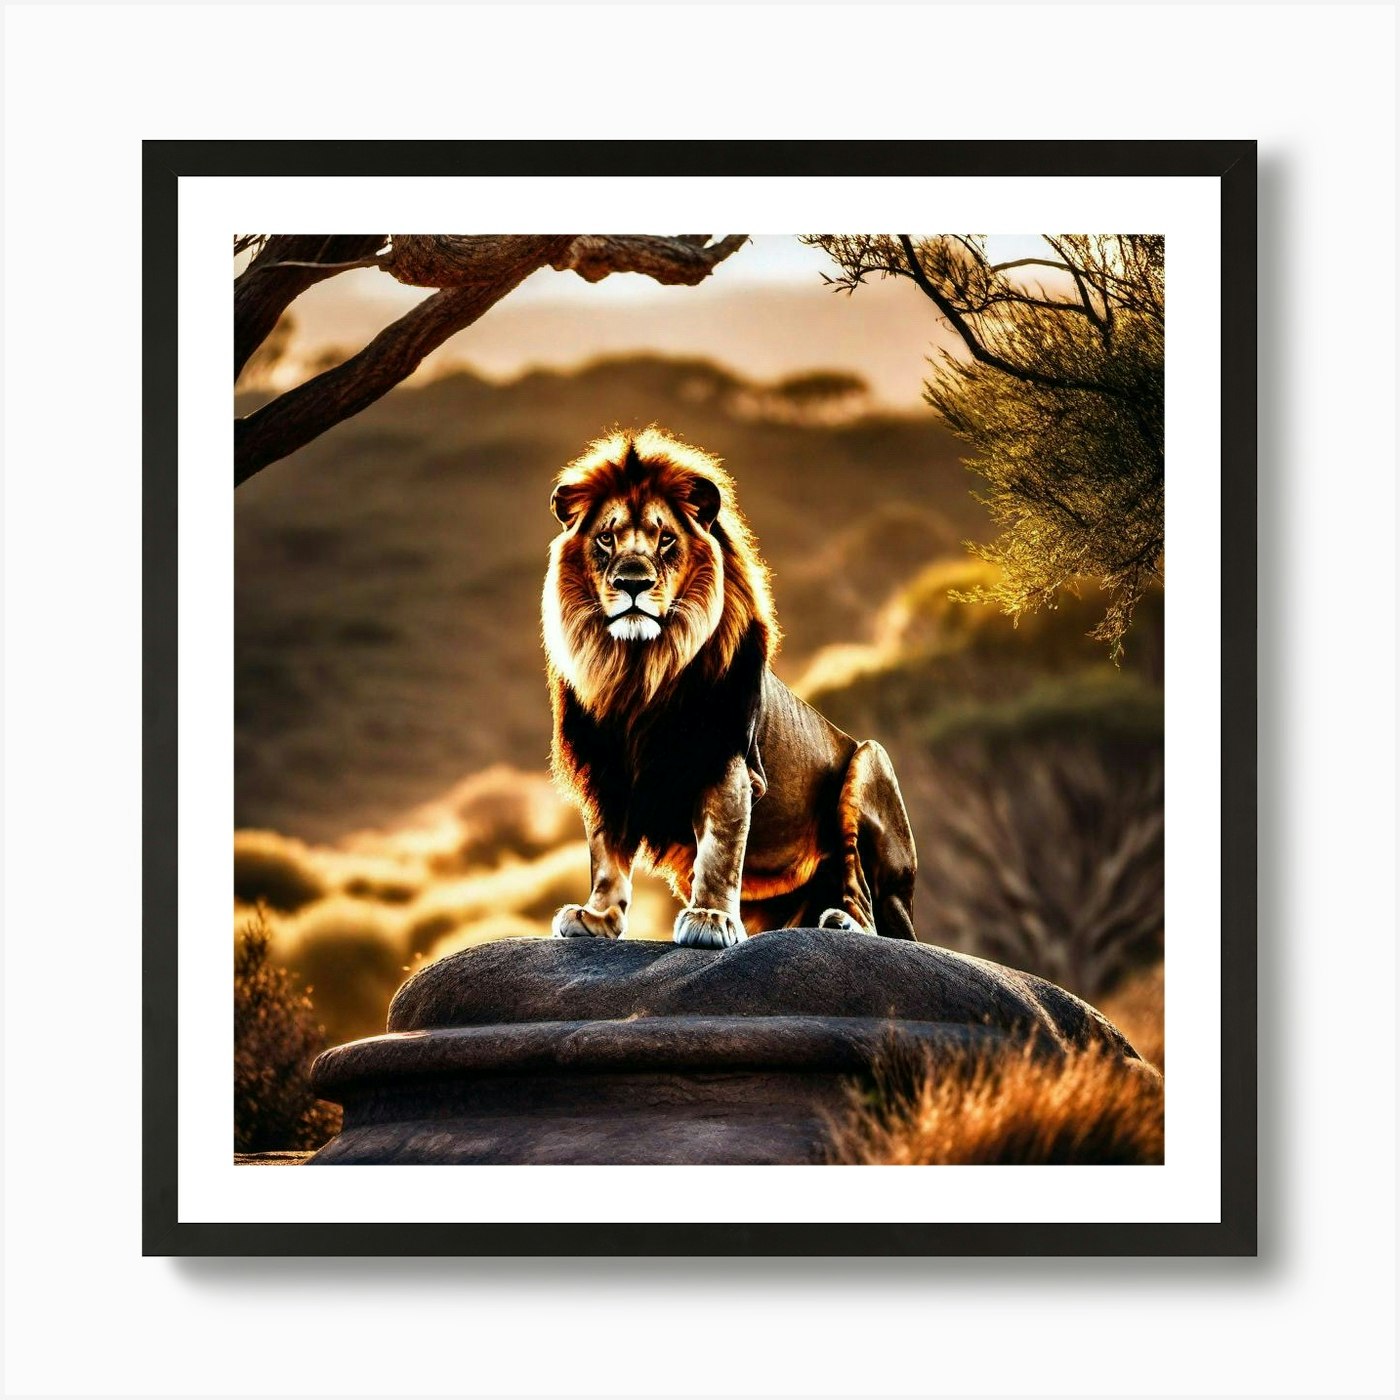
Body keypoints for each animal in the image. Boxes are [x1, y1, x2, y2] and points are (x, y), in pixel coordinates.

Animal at [542, 427, 917, 948]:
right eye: (605, 538)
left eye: (665, 539)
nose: (632, 582)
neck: (639, 668)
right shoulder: (605, 768)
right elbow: (605, 854)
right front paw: (597, 917)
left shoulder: (727, 759)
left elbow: (720, 850)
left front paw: (711, 918)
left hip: (870, 762)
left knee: (868, 906)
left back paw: (840, 922)